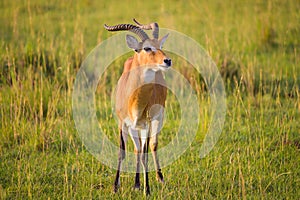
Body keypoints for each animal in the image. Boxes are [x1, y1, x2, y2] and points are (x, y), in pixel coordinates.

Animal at [104, 19, 172, 195]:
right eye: (147, 48)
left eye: (159, 45)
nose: (167, 61)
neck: (135, 101)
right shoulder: (122, 123)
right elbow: (122, 152)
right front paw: (115, 187)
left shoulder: (147, 123)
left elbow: (145, 154)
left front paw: (147, 190)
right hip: (134, 127)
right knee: (137, 149)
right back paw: (136, 183)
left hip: (156, 119)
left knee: (152, 145)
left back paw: (160, 178)